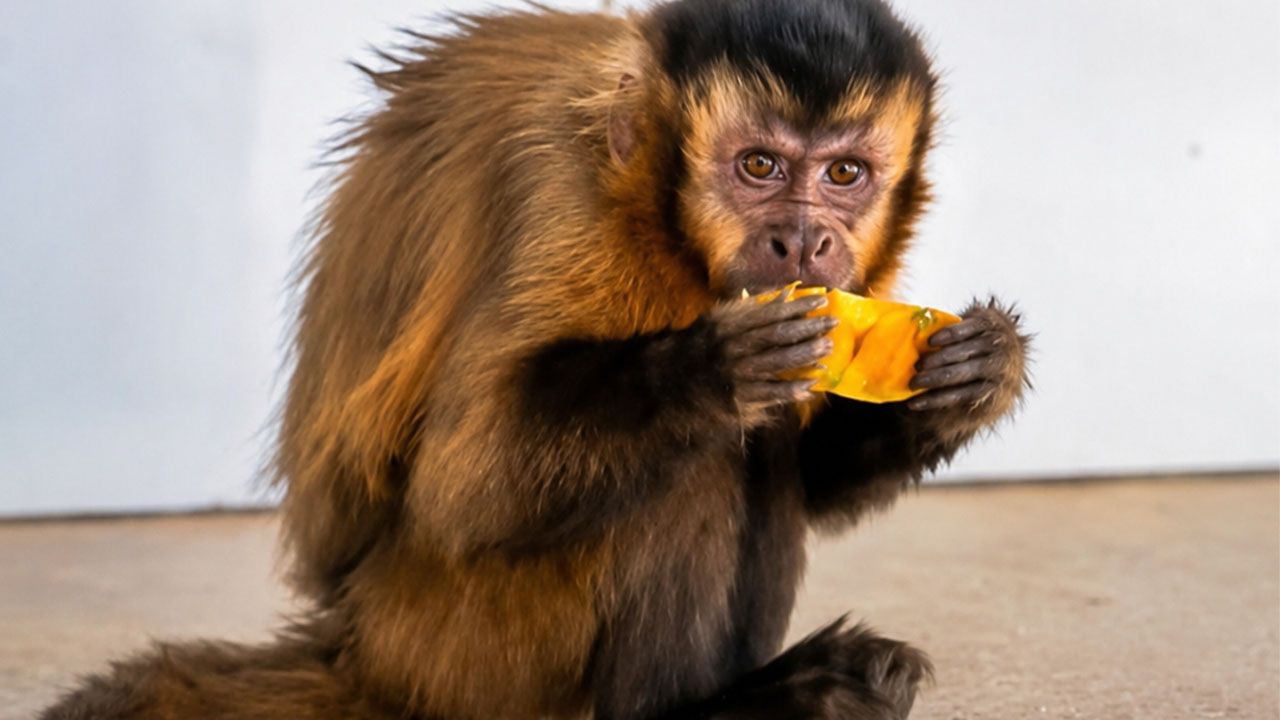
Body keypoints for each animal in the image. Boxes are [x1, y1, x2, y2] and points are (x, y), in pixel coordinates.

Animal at [41, 0, 1030, 718]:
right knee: (696, 466)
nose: (804, 242)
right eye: (758, 166)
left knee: (762, 454)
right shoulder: (565, 196)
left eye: (843, 176)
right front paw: (711, 371)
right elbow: (467, 482)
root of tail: (354, 649)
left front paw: (969, 380)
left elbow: (817, 465)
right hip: (452, 654)